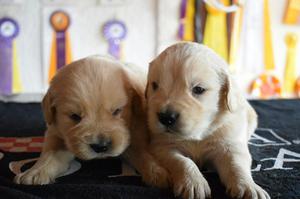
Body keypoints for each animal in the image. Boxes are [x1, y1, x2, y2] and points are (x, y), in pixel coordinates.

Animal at [14, 55, 169, 187]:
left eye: (117, 111)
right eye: (75, 116)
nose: (100, 146)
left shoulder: (136, 132)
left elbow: (143, 153)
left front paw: (158, 173)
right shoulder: (56, 132)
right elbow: (50, 154)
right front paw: (35, 172)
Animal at [145, 42, 270, 199]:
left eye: (198, 89)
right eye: (155, 85)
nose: (166, 117)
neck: (198, 134)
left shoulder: (230, 144)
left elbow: (236, 165)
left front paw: (249, 187)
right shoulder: (163, 146)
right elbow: (182, 161)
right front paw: (193, 182)